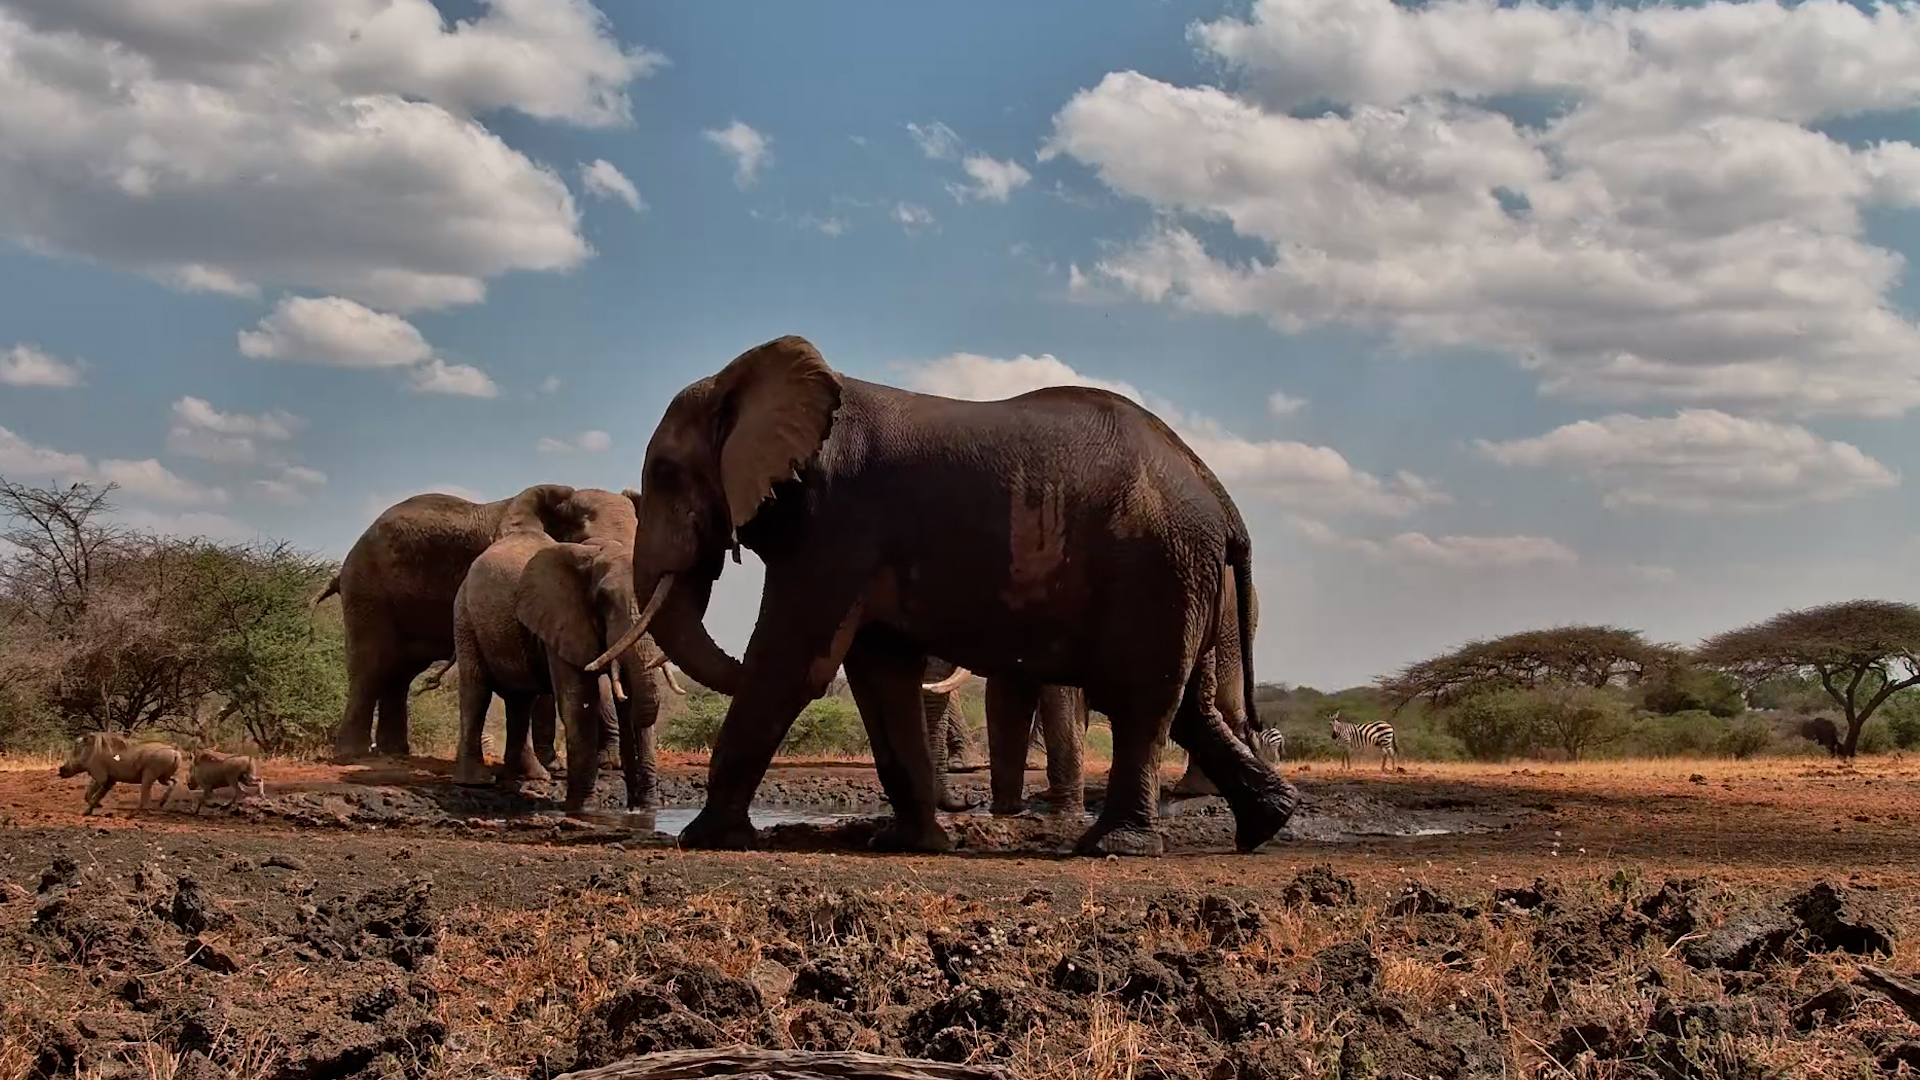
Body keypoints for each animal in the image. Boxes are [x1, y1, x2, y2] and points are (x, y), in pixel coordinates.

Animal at [321, 484, 738, 766]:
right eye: (590, 541)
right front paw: (556, 764)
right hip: (367, 588)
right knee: (371, 664)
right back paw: (354, 757)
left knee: (400, 672)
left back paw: (395, 754)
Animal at [588, 334, 1298, 857]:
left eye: (666, 474)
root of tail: (1217, 492)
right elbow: (880, 672)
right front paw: (911, 843)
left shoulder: (838, 528)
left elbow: (794, 661)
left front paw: (706, 839)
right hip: (1185, 578)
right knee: (1186, 705)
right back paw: (1268, 824)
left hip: (1158, 567)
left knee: (1143, 700)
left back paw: (1110, 848)